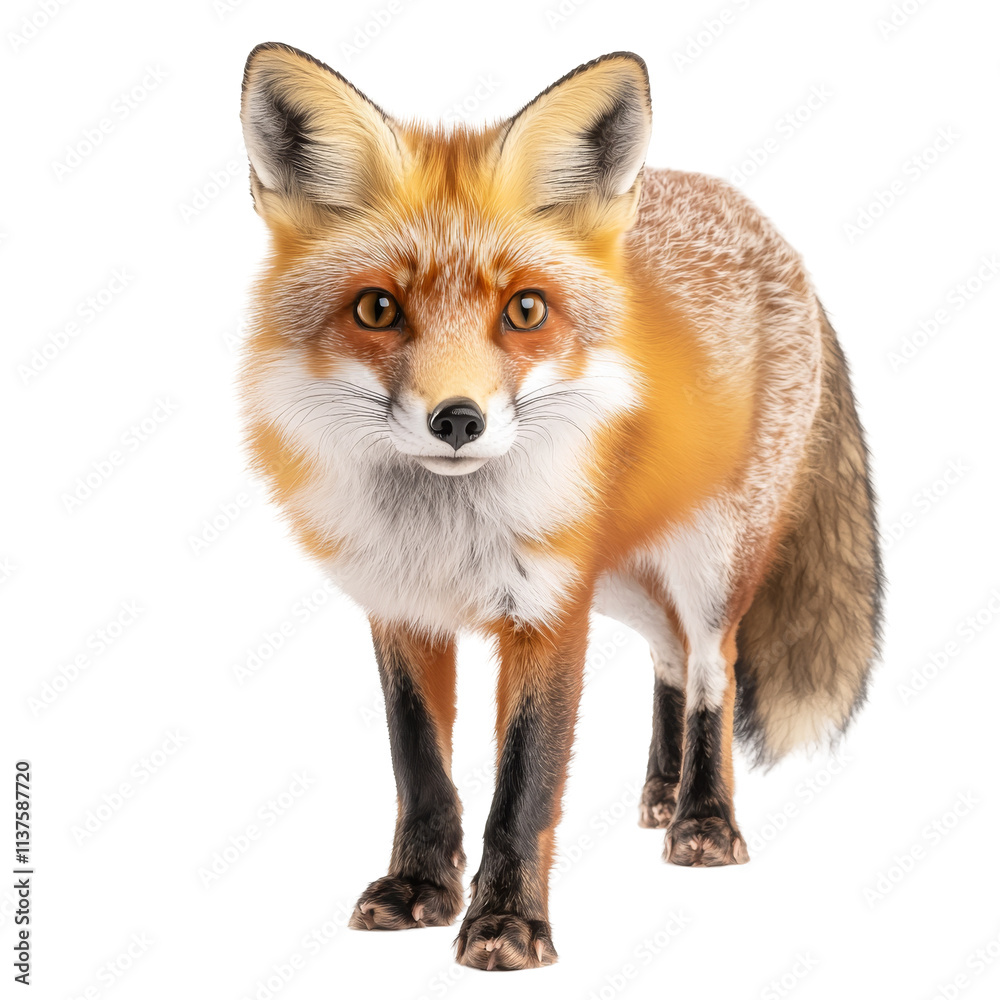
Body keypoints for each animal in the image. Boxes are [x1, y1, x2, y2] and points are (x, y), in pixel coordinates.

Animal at [237, 44, 883, 971]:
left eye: (526, 310)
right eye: (377, 308)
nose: (458, 420)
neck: (443, 534)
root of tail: (767, 229)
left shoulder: (548, 610)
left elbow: (525, 789)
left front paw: (506, 924)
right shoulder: (402, 609)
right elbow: (419, 766)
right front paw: (419, 888)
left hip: (709, 562)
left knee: (712, 669)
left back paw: (703, 818)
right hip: (622, 575)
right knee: (669, 656)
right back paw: (662, 789)